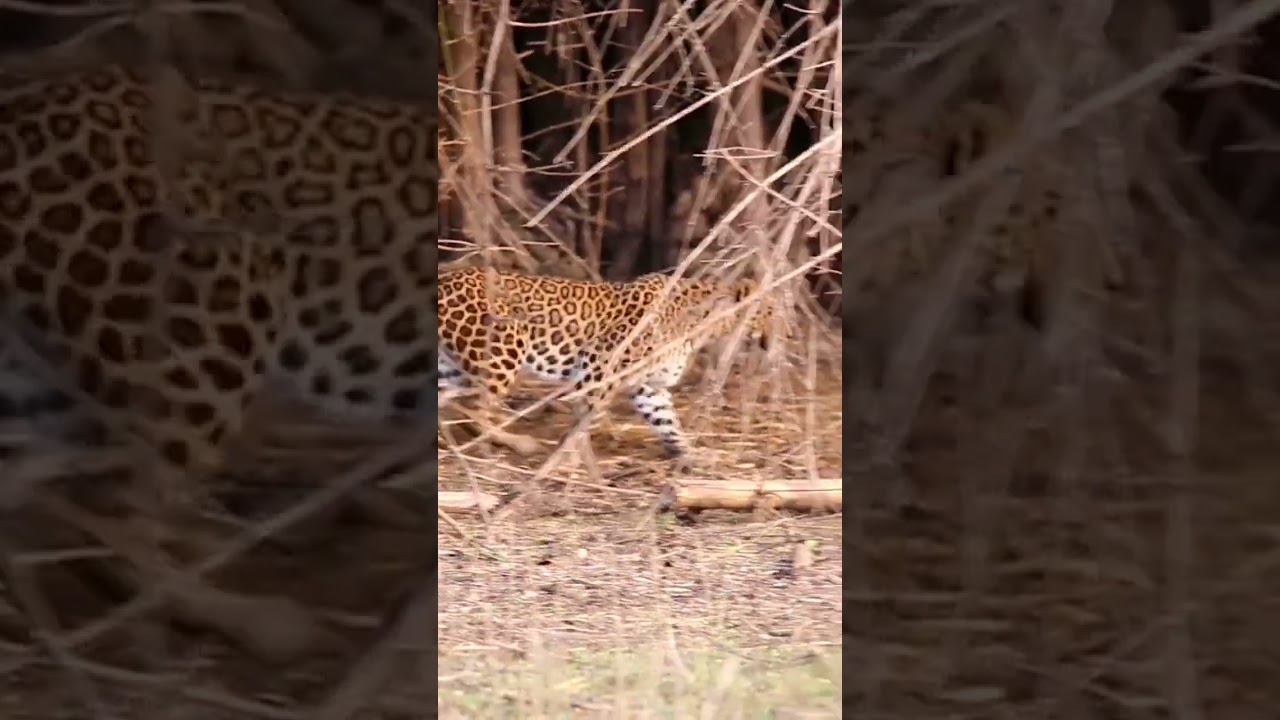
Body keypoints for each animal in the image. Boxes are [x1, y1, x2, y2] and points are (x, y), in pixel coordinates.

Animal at [437, 266, 773, 462]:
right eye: (770, 312)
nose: (780, 335)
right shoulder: (599, 365)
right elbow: (586, 419)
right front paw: (572, 461)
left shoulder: (648, 386)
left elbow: (668, 422)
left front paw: (690, 455)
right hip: (503, 351)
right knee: (473, 410)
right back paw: (516, 444)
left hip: (453, 366)